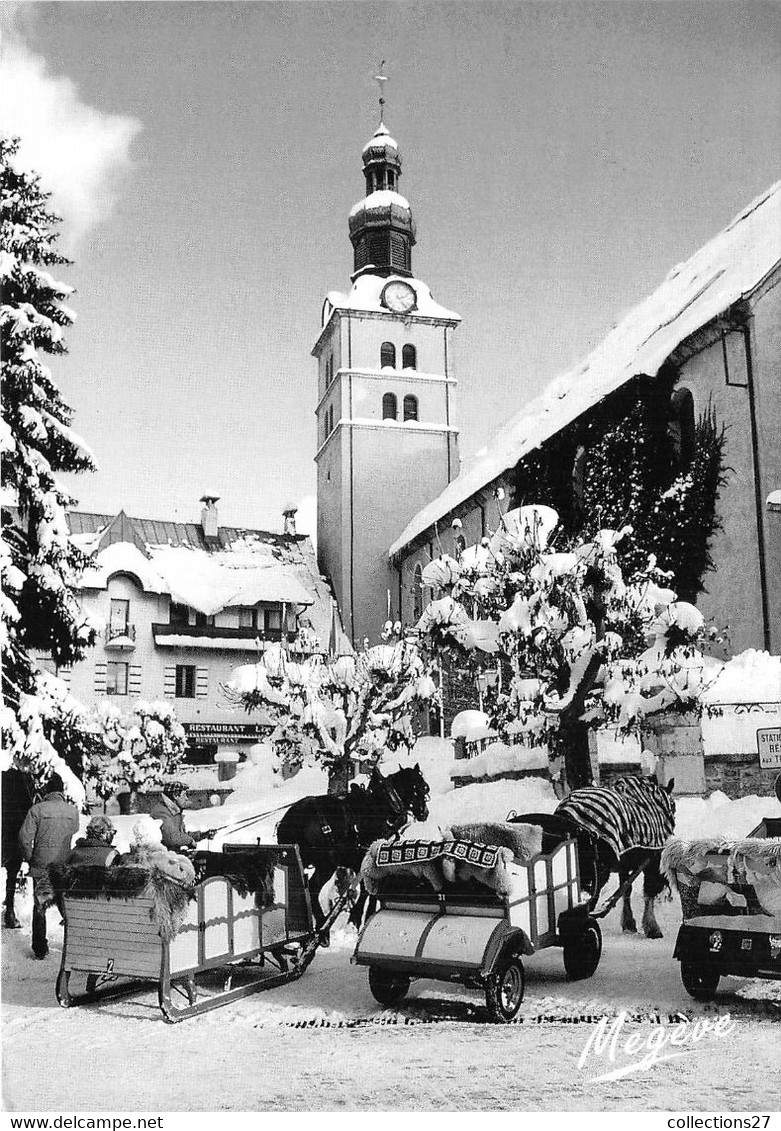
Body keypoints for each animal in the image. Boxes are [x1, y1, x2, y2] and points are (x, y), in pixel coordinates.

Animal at [276, 769, 434, 936]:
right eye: (421, 788)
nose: (424, 812)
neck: (382, 804)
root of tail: (292, 821)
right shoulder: (366, 858)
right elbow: (368, 889)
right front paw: (358, 919)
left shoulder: (355, 860)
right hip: (326, 864)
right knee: (312, 887)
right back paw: (322, 925)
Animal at [513, 773, 678, 940]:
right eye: (673, 807)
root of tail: (569, 812)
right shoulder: (652, 859)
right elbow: (648, 893)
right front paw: (652, 928)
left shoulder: (625, 861)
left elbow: (627, 890)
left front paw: (629, 923)